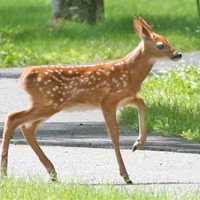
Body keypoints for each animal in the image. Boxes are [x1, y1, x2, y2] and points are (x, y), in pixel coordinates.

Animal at [0, 18, 181, 184]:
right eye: (160, 45)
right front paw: (125, 175)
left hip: (47, 104)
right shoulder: (107, 101)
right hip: (49, 103)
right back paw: (5, 172)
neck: (129, 73)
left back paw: (51, 172)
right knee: (13, 117)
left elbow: (141, 102)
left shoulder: (124, 97)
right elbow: (114, 133)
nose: (177, 54)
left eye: (168, 40)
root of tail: (25, 76)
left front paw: (137, 144)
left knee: (27, 127)